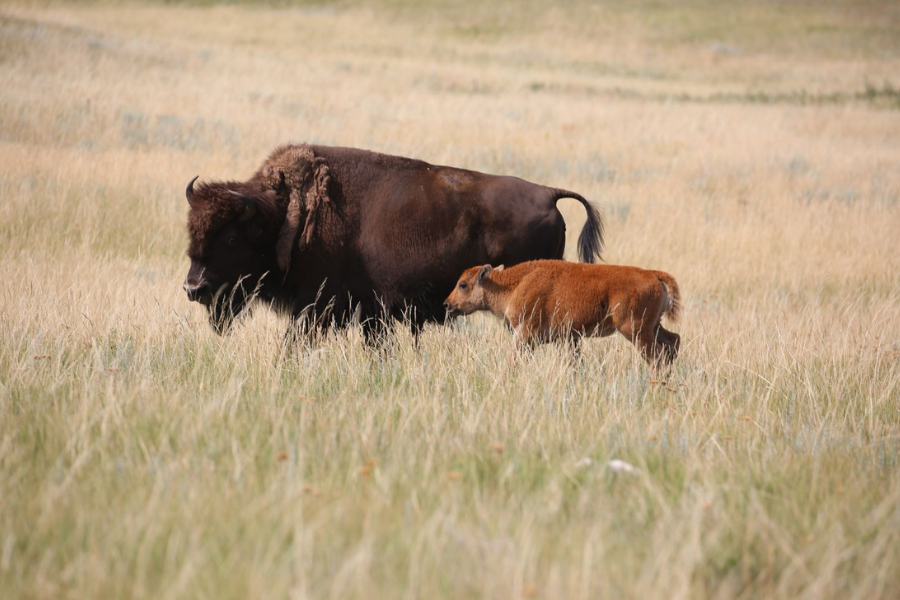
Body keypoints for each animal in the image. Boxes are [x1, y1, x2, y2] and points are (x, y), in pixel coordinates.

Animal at [183, 142, 604, 338]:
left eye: (232, 237)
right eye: (192, 231)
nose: (193, 288)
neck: (289, 215)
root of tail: (548, 194)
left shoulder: (320, 306)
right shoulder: (366, 313)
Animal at [442, 260, 684, 368]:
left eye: (463, 284)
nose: (447, 304)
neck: (515, 283)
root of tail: (653, 274)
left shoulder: (525, 334)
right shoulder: (568, 338)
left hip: (636, 331)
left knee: (657, 356)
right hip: (653, 327)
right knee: (673, 341)